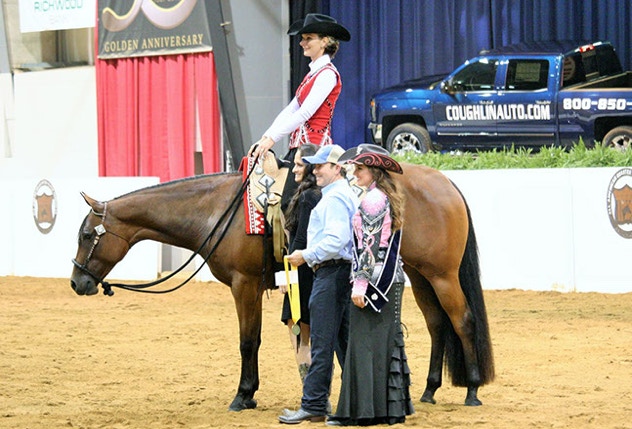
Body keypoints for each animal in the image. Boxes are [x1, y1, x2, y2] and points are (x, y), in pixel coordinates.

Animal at [70, 163, 494, 411]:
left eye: (87, 234)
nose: (77, 282)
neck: (218, 210)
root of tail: (446, 181)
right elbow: (256, 340)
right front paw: (250, 392)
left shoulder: (243, 285)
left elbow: (247, 341)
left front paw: (243, 394)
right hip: (421, 275)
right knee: (437, 325)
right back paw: (429, 390)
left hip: (442, 274)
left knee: (462, 321)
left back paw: (472, 390)